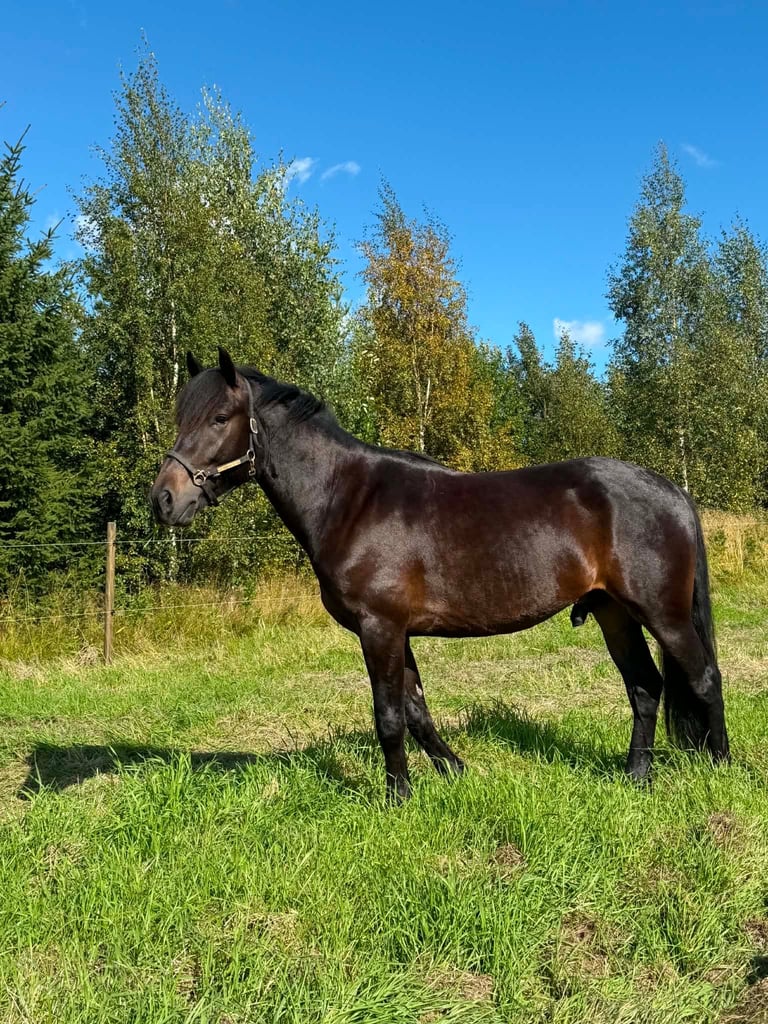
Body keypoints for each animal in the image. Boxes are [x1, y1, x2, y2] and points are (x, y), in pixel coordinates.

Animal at [150, 347, 730, 800]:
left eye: (220, 417)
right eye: (181, 415)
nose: (164, 500)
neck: (349, 500)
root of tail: (671, 489)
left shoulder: (380, 627)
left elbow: (388, 716)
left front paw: (397, 797)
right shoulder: (396, 631)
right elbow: (416, 710)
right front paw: (455, 770)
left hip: (662, 614)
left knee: (703, 677)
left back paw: (721, 766)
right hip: (614, 613)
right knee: (645, 687)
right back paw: (636, 776)